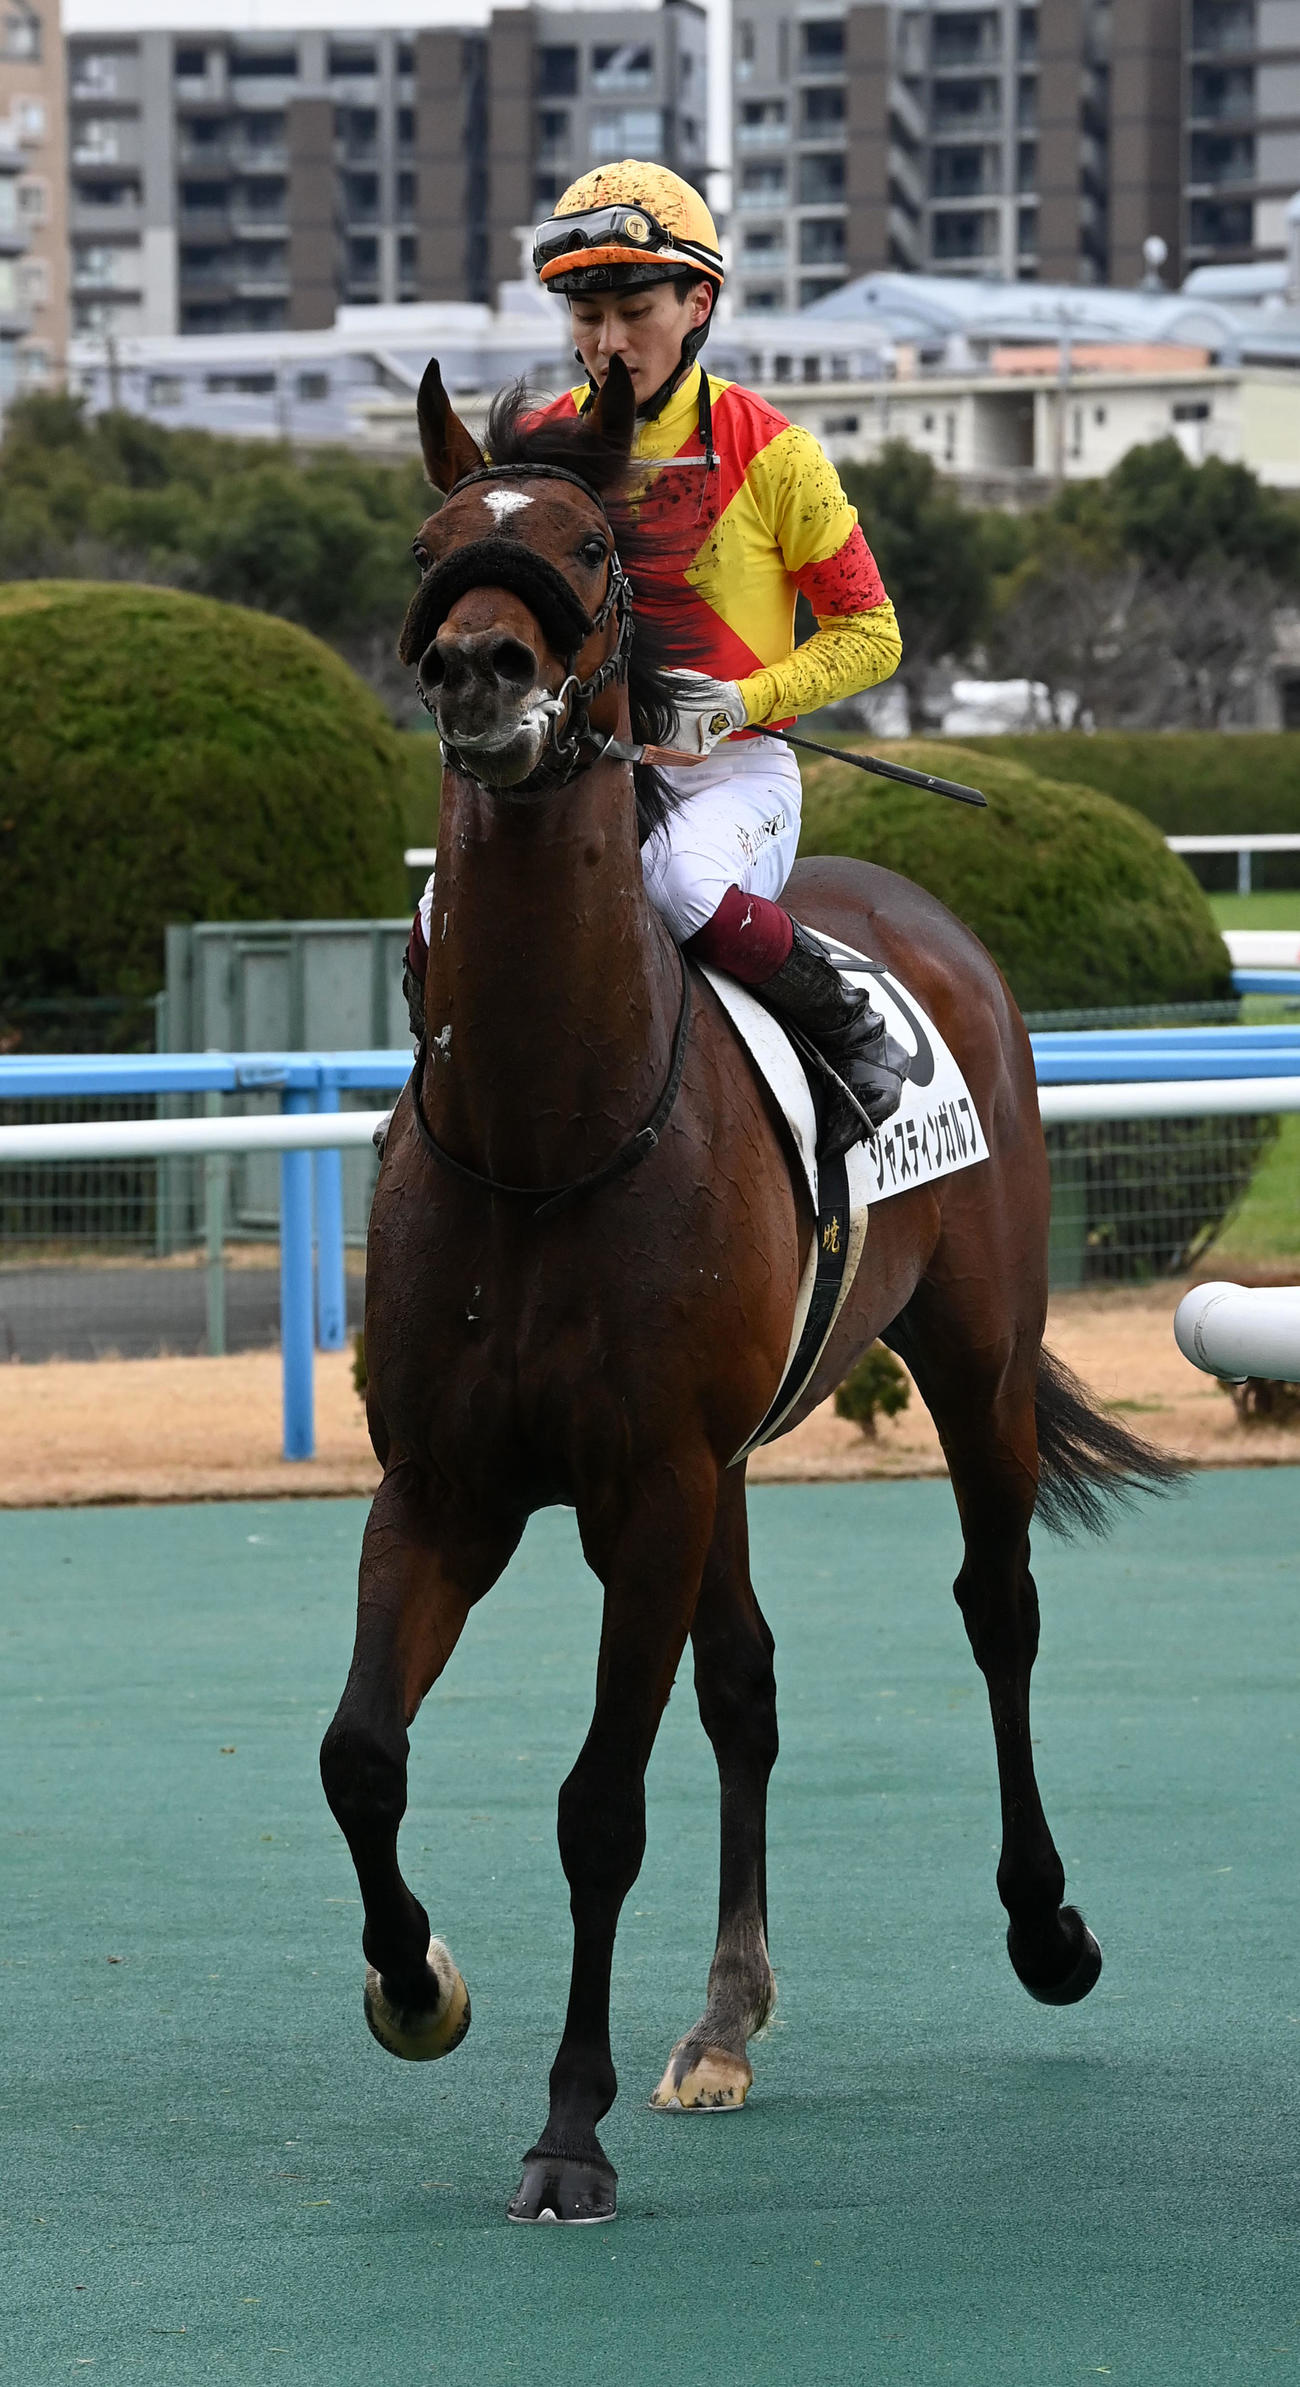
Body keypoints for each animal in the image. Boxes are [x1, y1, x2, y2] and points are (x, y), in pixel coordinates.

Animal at [319, 354, 1179, 2226]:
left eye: (587, 547)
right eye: (429, 542)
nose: (479, 667)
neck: (547, 1131)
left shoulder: (641, 1485)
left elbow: (597, 1808)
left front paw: (566, 2130)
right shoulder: (450, 1481)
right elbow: (362, 1754)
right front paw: (417, 1984)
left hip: (973, 1357)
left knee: (996, 1610)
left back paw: (1048, 1927)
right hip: (726, 1461)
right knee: (750, 1685)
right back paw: (723, 2017)